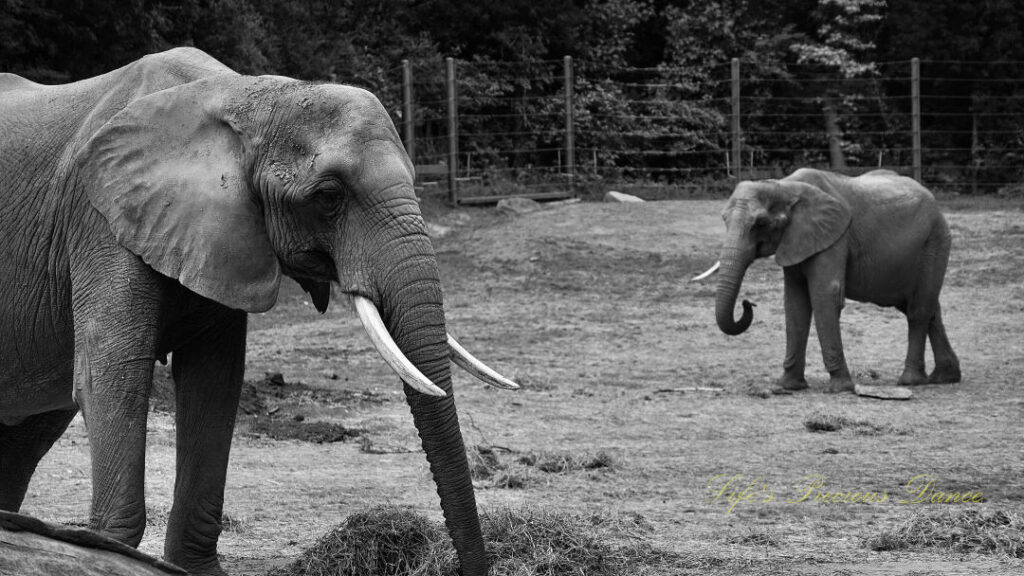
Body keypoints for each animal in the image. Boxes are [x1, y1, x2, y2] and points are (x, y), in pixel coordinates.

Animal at [0, 45, 512, 573]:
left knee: (29, 434)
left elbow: (214, 382)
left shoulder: (224, 238)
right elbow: (113, 373)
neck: (245, 95)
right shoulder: (99, 219)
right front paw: (108, 551)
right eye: (329, 196)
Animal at [704, 166, 958, 389]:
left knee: (918, 310)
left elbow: (825, 294)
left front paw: (840, 387)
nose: (748, 303)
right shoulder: (796, 240)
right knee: (928, 308)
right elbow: (795, 303)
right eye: (724, 220)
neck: (784, 186)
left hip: (935, 241)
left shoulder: (834, 238)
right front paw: (788, 386)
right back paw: (945, 377)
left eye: (760, 223)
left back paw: (910, 381)